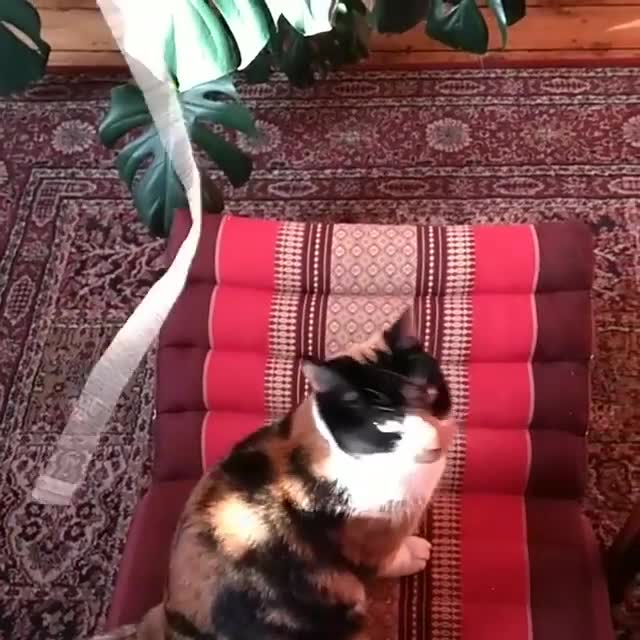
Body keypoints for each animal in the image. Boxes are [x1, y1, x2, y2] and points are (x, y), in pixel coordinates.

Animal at [96, 308, 456, 636]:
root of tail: (169, 619)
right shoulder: (368, 540)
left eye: (429, 394)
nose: (433, 441)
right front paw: (413, 553)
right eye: (385, 425)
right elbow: (387, 557)